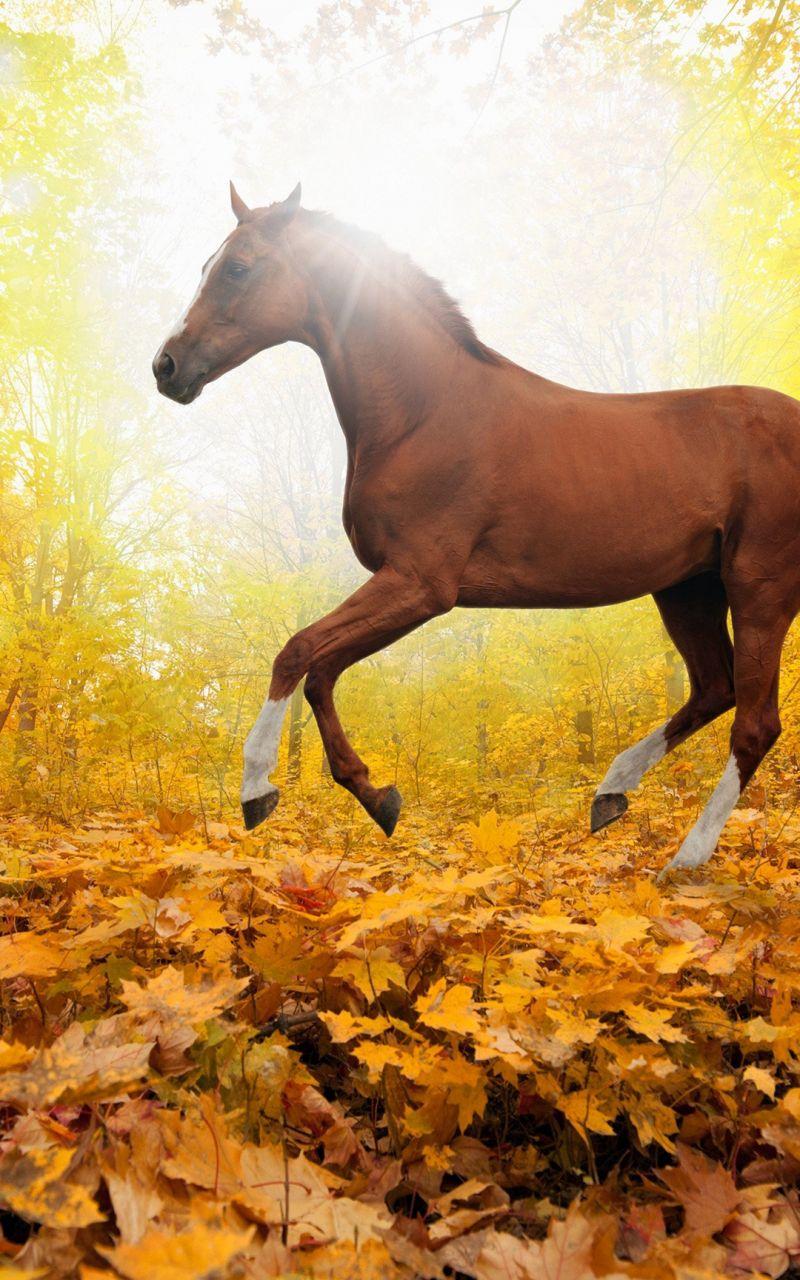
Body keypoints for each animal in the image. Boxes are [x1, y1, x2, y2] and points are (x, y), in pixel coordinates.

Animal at [153, 182, 800, 871]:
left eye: (238, 268)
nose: (166, 367)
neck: (424, 411)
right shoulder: (408, 588)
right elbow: (322, 672)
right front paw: (377, 796)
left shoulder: (421, 585)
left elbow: (297, 652)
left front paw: (257, 789)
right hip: (686, 590)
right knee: (713, 688)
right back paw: (611, 793)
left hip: (759, 589)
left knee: (754, 723)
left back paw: (687, 859)